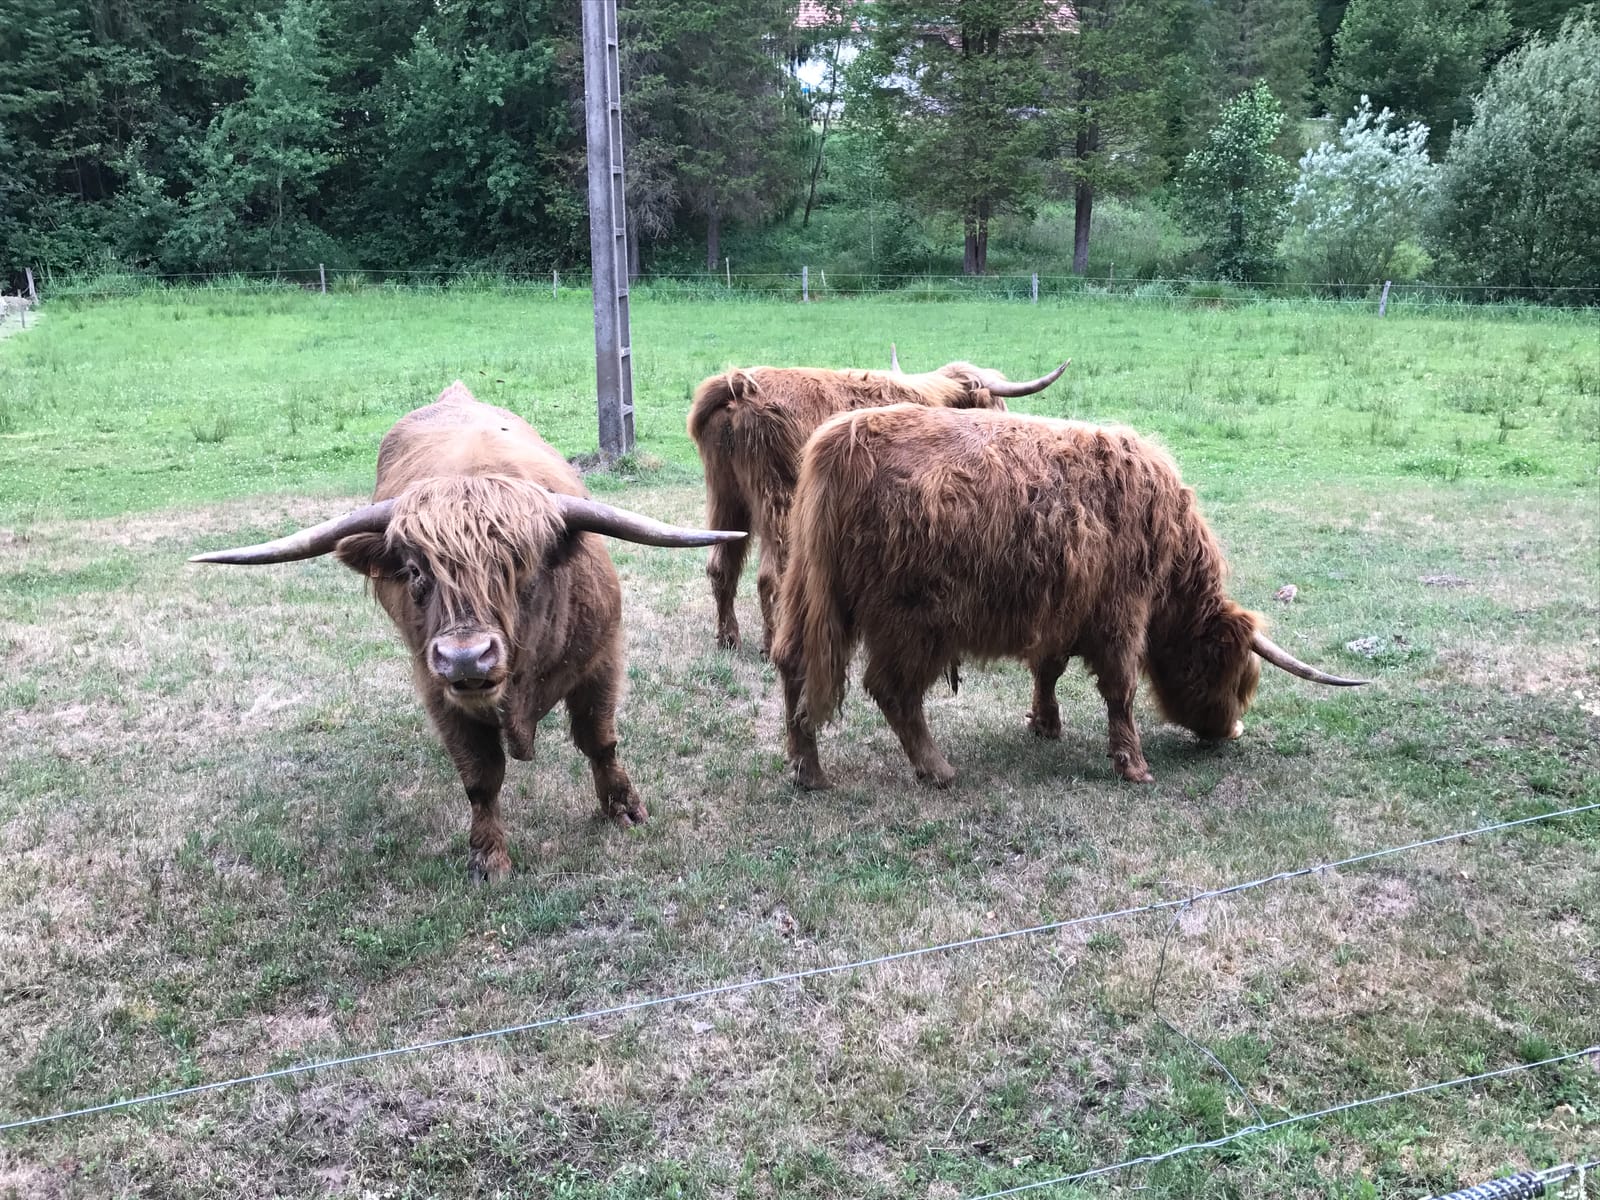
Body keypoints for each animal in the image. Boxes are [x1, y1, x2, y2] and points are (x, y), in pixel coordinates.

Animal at [191, 382, 744, 881]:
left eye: (520, 566)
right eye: (415, 571)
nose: (464, 657)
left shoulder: (602, 658)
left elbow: (599, 740)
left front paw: (625, 809)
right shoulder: (437, 688)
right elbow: (481, 776)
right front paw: (488, 856)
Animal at [687, 354, 1069, 653]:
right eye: (992, 402)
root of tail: (738, 385)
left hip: (725, 495)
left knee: (721, 566)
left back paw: (728, 639)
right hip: (776, 496)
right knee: (770, 575)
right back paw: (771, 643)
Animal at [772, 404, 1365, 790]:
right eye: (1227, 671)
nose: (1230, 731)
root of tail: (840, 440)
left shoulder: (1061, 610)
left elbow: (1049, 669)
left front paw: (1045, 725)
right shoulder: (1123, 609)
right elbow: (1120, 688)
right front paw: (1133, 766)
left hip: (809, 591)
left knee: (793, 665)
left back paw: (810, 772)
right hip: (914, 619)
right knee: (892, 690)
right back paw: (937, 770)